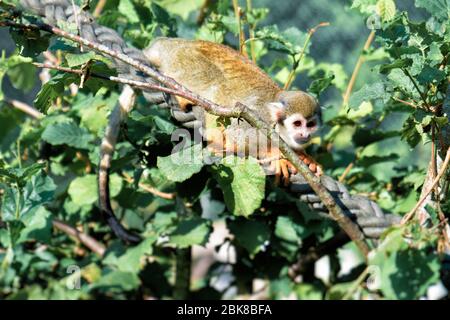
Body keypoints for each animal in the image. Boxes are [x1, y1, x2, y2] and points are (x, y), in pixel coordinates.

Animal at [142, 37, 322, 182]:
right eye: (297, 124)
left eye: (310, 125)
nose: (305, 135)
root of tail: (174, 43)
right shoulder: (259, 120)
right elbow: (239, 135)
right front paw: (277, 156)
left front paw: (305, 157)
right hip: (183, 62)